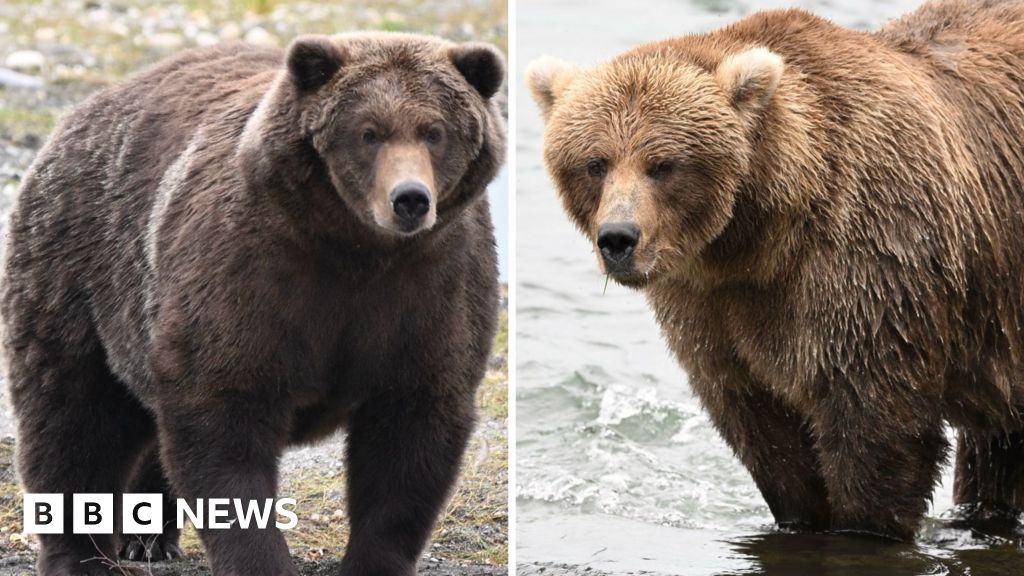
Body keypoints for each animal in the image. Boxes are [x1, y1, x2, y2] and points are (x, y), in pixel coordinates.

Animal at [1, 32, 505, 575]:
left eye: (435, 131)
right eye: (368, 132)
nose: (409, 198)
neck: (356, 250)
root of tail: (82, 112)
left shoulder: (431, 290)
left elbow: (410, 434)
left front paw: (374, 560)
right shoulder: (251, 275)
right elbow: (223, 414)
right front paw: (261, 558)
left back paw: (149, 537)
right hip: (82, 273)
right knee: (73, 415)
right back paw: (82, 556)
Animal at [527, 0, 1024, 541]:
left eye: (663, 164)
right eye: (596, 162)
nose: (619, 237)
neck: (757, 239)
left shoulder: (870, 262)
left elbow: (878, 428)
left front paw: (861, 525)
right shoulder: (711, 307)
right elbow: (767, 434)